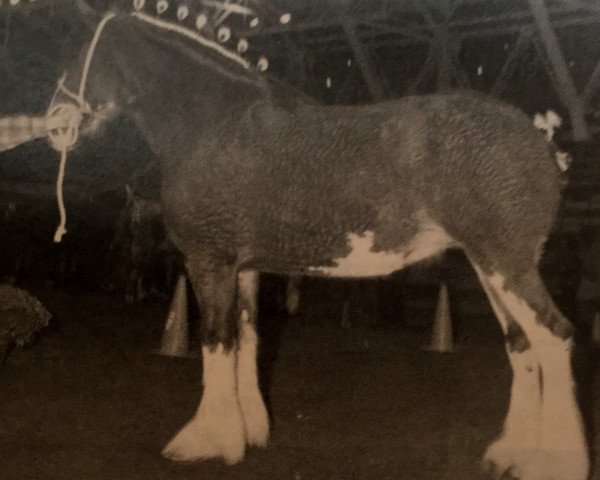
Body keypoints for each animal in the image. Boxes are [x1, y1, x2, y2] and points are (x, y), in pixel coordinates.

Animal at [49, 8, 588, 480]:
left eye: (83, 54)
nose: (54, 123)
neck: (212, 125)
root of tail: (541, 142)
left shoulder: (209, 261)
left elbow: (216, 341)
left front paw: (204, 440)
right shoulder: (245, 266)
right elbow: (247, 337)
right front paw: (250, 432)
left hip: (504, 261)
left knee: (554, 335)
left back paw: (558, 463)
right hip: (488, 265)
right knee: (521, 343)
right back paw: (511, 454)